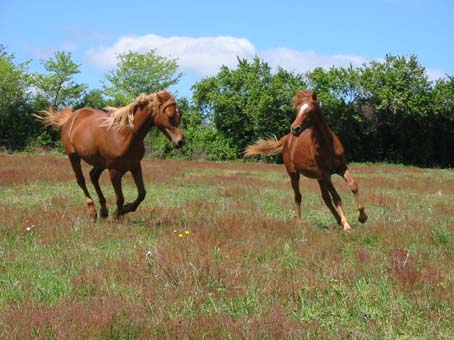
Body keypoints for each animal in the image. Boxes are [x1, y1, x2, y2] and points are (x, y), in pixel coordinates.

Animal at [35, 89, 184, 220]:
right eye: (170, 116)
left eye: (180, 115)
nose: (180, 141)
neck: (125, 135)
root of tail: (71, 117)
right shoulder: (114, 171)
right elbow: (120, 197)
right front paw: (116, 217)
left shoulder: (135, 166)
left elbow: (142, 193)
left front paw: (125, 209)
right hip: (73, 156)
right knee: (81, 180)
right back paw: (93, 212)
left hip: (99, 162)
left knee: (93, 176)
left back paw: (104, 211)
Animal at [245, 89, 366, 231]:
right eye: (297, 110)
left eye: (310, 110)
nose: (295, 128)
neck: (327, 145)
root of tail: (286, 139)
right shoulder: (326, 174)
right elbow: (336, 197)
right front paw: (346, 224)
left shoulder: (341, 168)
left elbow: (353, 186)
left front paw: (362, 217)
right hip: (294, 174)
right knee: (298, 196)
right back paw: (300, 223)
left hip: (319, 178)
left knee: (325, 198)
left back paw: (338, 221)